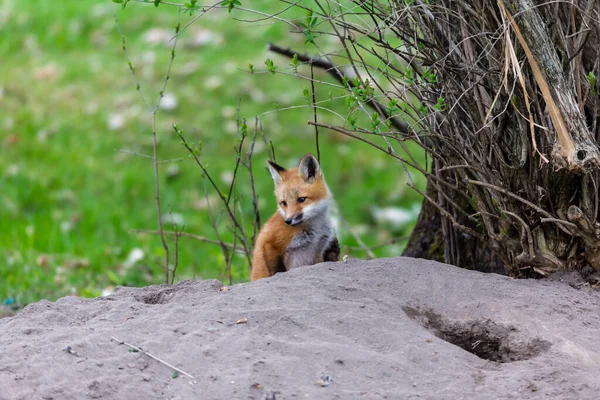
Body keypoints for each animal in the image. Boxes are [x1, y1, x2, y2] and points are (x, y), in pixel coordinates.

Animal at [251, 154, 340, 282]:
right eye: (284, 203)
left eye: (301, 199)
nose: (288, 221)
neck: (315, 228)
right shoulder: (270, 244)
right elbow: (275, 271)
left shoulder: (317, 251)